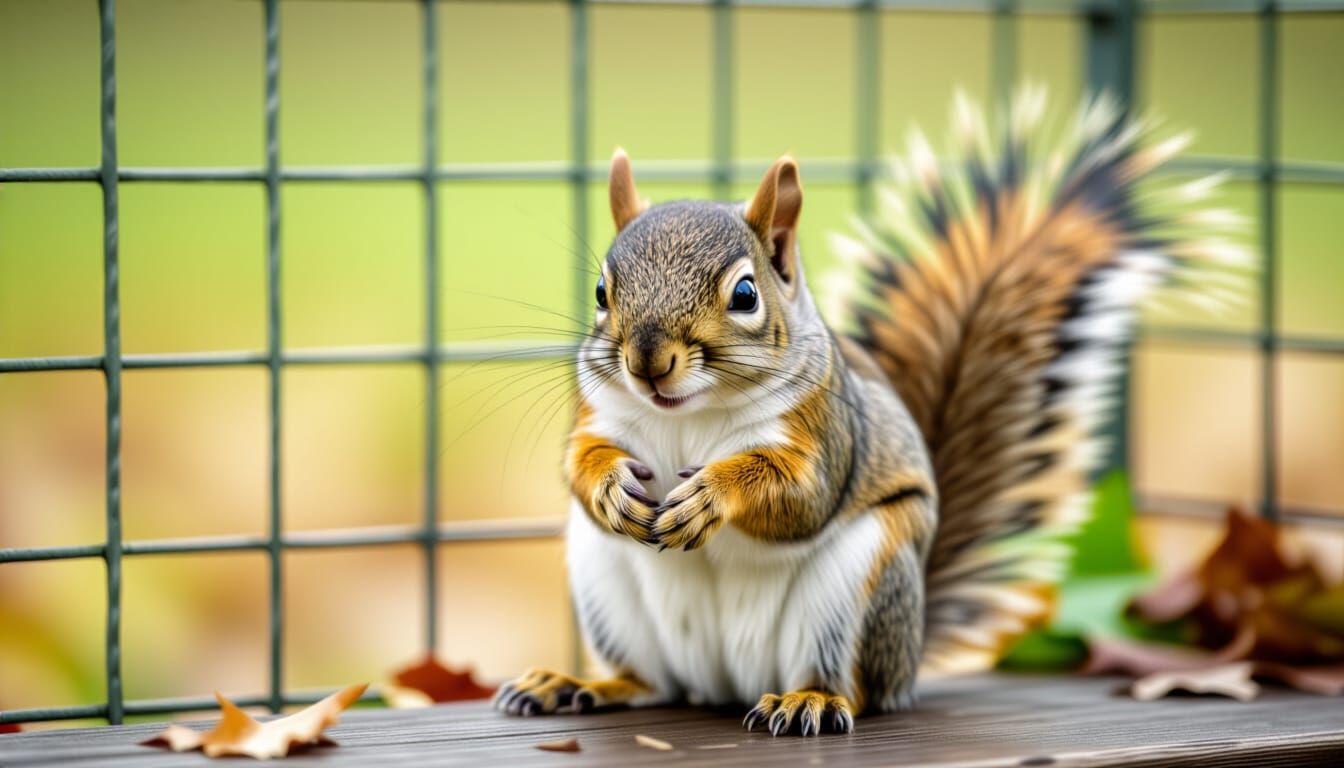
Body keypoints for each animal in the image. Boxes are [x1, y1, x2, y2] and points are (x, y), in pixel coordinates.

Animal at [493, 90, 1243, 736]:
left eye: (745, 294)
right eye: (601, 292)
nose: (648, 361)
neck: (687, 413)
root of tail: (727, 684)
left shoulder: (826, 430)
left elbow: (800, 494)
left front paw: (712, 494)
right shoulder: (600, 411)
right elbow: (579, 459)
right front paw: (608, 486)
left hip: (863, 582)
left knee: (853, 687)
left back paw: (810, 701)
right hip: (604, 582)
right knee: (650, 682)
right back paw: (577, 685)